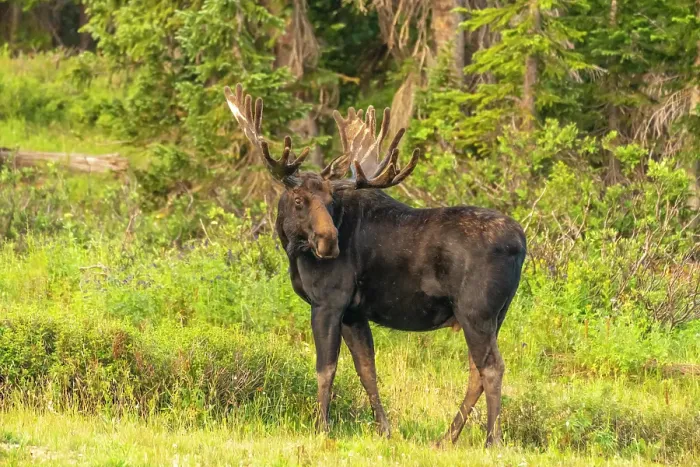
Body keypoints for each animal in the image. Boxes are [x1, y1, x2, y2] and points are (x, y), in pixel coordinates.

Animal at [224, 83, 527, 447]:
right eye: (299, 200)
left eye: (329, 201)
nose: (329, 242)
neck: (293, 251)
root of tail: (522, 243)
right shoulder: (354, 311)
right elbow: (367, 369)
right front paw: (385, 429)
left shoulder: (329, 302)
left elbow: (326, 368)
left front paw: (322, 427)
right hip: (495, 314)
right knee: (476, 371)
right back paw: (446, 437)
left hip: (475, 310)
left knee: (492, 367)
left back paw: (491, 440)